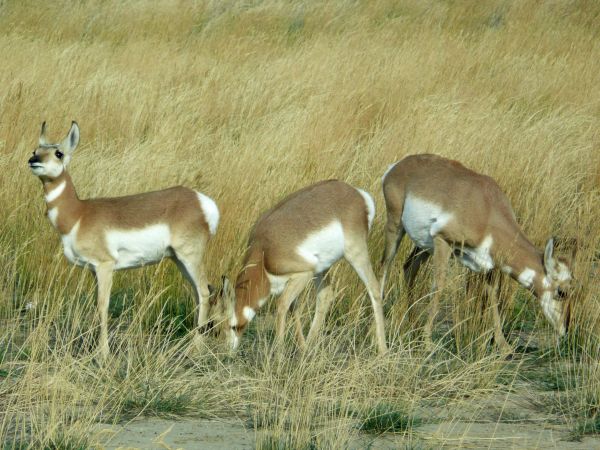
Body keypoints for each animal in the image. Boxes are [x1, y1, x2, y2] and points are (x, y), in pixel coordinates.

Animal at [27, 120, 220, 358]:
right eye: (35, 150)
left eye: (58, 153)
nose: (33, 160)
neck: (79, 214)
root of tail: (200, 200)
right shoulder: (93, 270)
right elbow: (96, 305)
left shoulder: (105, 265)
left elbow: (103, 305)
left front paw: (103, 354)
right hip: (178, 260)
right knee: (198, 292)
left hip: (189, 256)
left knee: (204, 291)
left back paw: (195, 350)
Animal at [218, 181, 386, 354]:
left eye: (230, 326)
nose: (226, 352)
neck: (263, 252)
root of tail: (357, 193)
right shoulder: (292, 282)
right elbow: (294, 309)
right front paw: (302, 347)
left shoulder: (303, 274)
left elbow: (282, 306)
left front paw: (279, 355)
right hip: (322, 268)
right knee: (325, 296)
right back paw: (310, 347)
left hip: (355, 254)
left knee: (374, 288)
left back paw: (383, 350)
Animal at [382, 155, 576, 352]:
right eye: (561, 292)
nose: (566, 329)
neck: (487, 209)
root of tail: (399, 165)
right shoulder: (443, 242)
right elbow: (438, 286)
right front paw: (428, 342)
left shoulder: (488, 264)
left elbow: (492, 295)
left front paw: (504, 345)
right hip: (397, 227)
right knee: (385, 265)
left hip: (423, 245)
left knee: (408, 268)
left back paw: (413, 326)